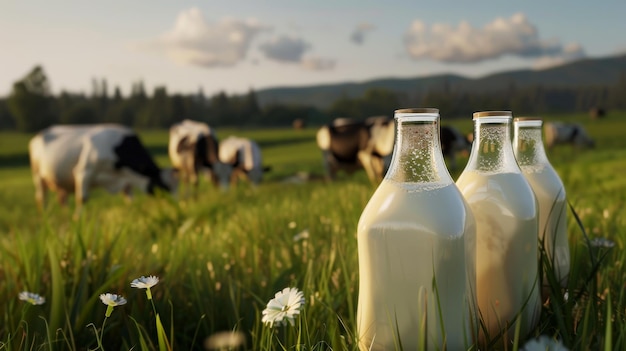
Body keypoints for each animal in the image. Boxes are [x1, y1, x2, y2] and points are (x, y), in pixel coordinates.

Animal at [29, 124, 178, 212]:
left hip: (60, 181)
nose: (175, 206)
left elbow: (130, 200)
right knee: (41, 198)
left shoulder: (126, 182)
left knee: (62, 200)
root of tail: (38, 135)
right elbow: (82, 199)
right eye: (164, 186)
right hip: (37, 176)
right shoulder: (84, 172)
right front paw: (78, 222)